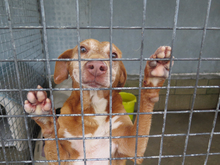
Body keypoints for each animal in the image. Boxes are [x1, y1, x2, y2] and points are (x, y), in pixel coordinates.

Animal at [23, 38, 174, 164]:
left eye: (114, 55)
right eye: (82, 49)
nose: (96, 65)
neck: (93, 109)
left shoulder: (132, 147)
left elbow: (143, 115)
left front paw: (153, 77)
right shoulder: (62, 158)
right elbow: (52, 140)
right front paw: (44, 117)